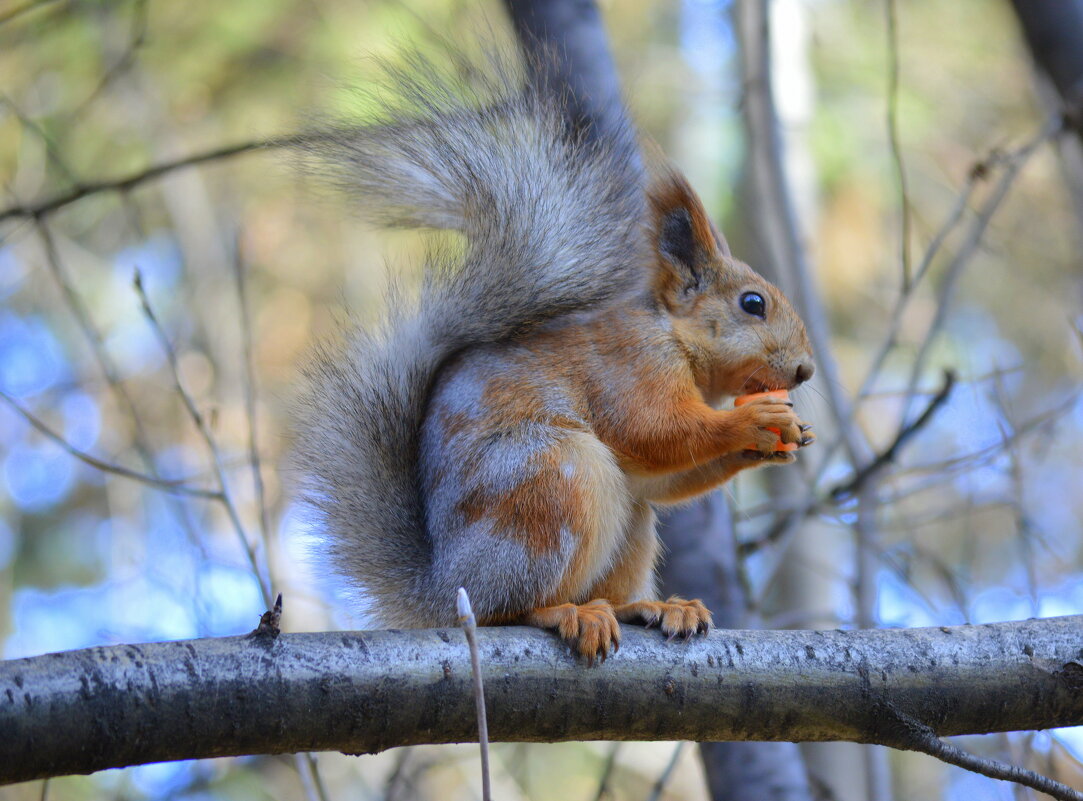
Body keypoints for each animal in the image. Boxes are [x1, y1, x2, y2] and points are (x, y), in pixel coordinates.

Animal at [296, 51, 814, 662]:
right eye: (753, 304)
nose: (805, 370)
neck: (673, 337)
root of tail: (445, 588)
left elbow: (662, 479)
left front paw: (782, 439)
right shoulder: (631, 366)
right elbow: (653, 430)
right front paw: (753, 421)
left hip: (623, 521)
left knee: (629, 531)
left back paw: (651, 607)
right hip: (552, 483)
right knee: (508, 608)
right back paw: (564, 611)